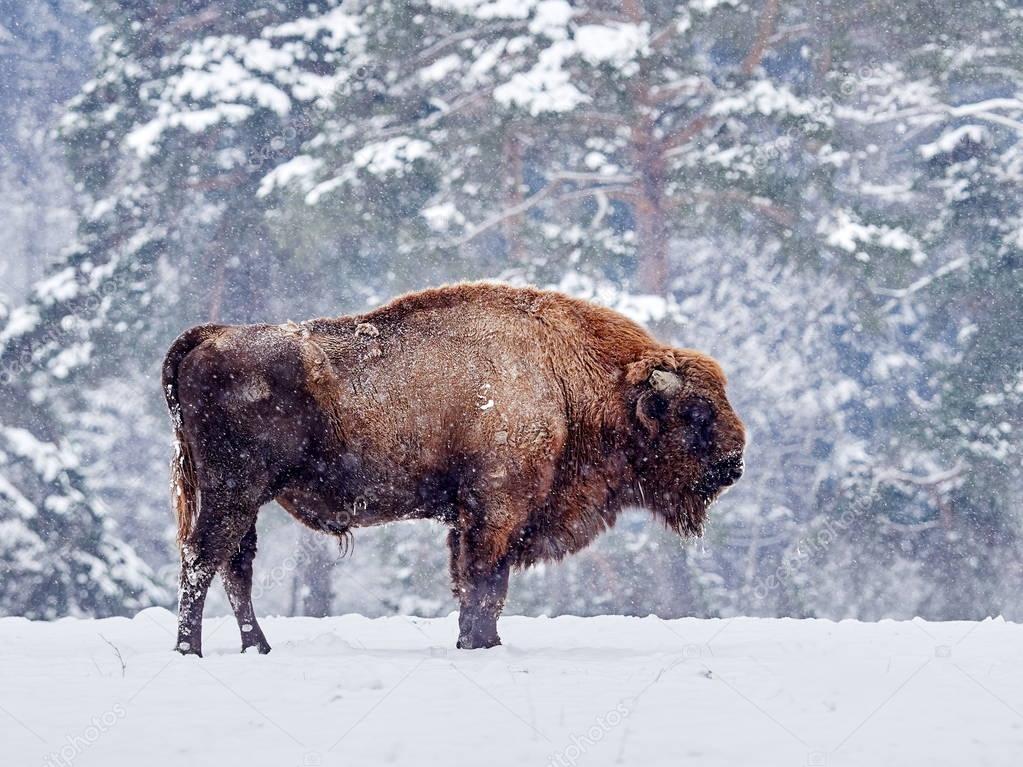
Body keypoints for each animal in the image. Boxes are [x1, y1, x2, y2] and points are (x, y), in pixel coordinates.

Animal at [163, 282, 748, 654]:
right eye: (696, 411)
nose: (734, 465)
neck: (566, 378)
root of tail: (210, 335)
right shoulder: (495, 513)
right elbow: (484, 585)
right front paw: (479, 644)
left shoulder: (476, 521)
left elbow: (478, 587)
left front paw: (480, 641)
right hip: (233, 492)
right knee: (202, 560)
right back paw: (191, 651)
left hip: (242, 501)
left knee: (234, 567)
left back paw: (257, 648)